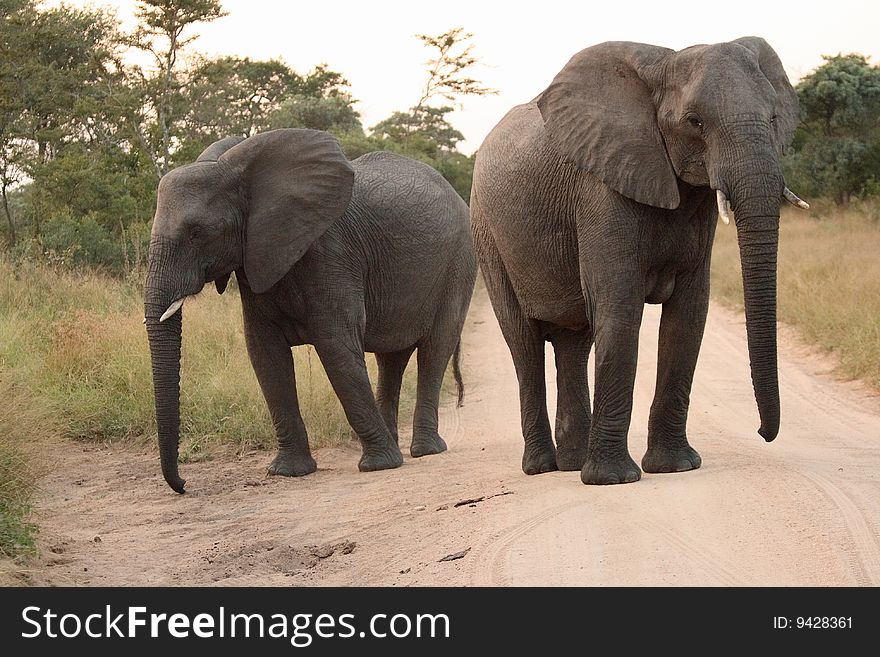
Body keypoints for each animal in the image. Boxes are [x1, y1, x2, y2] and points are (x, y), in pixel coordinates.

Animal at [144, 128, 474, 492]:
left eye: (196, 233)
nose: (184, 484)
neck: (239, 170)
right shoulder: (257, 256)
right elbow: (265, 354)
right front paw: (288, 471)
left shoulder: (331, 252)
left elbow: (336, 347)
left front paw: (380, 466)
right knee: (392, 358)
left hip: (460, 260)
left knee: (435, 348)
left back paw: (425, 451)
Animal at [470, 38, 808, 484]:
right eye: (694, 122)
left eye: (773, 118)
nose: (762, 433)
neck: (663, 65)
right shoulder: (600, 188)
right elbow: (620, 309)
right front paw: (613, 479)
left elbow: (688, 316)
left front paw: (675, 467)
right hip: (486, 232)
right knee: (523, 342)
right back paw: (541, 468)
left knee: (575, 341)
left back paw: (571, 463)